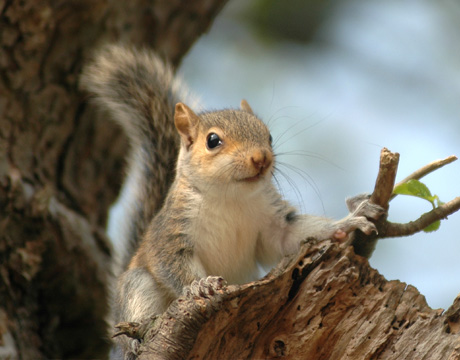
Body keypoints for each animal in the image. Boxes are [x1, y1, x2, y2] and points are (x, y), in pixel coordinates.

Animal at [80, 44, 384, 358]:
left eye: (269, 136)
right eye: (212, 140)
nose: (261, 158)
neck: (231, 197)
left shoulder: (273, 222)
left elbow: (289, 236)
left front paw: (349, 221)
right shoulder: (173, 231)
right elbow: (173, 264)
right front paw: (199, 285)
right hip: (137, 287)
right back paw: (132, 344)